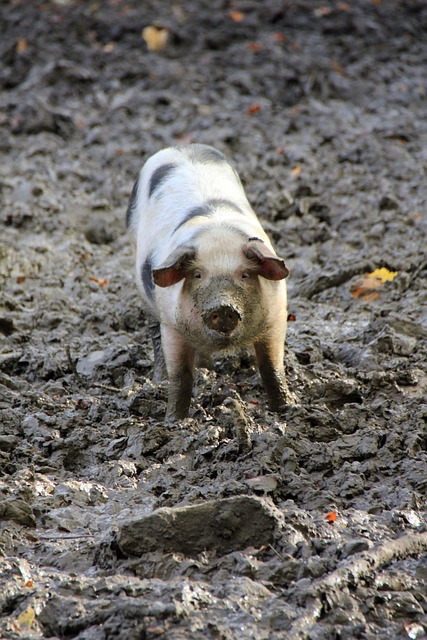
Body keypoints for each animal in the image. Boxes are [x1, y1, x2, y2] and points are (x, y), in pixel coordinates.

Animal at [124, 144, 290, 420]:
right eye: (198, 275)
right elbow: (180, 376)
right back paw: (161, 379)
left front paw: (289, 409)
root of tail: (182, 147)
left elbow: (271, 367)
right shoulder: (172, 325)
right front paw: (174, 421)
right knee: (153, 330)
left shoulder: (277, 316)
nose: (223, 307)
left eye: (244, 275)